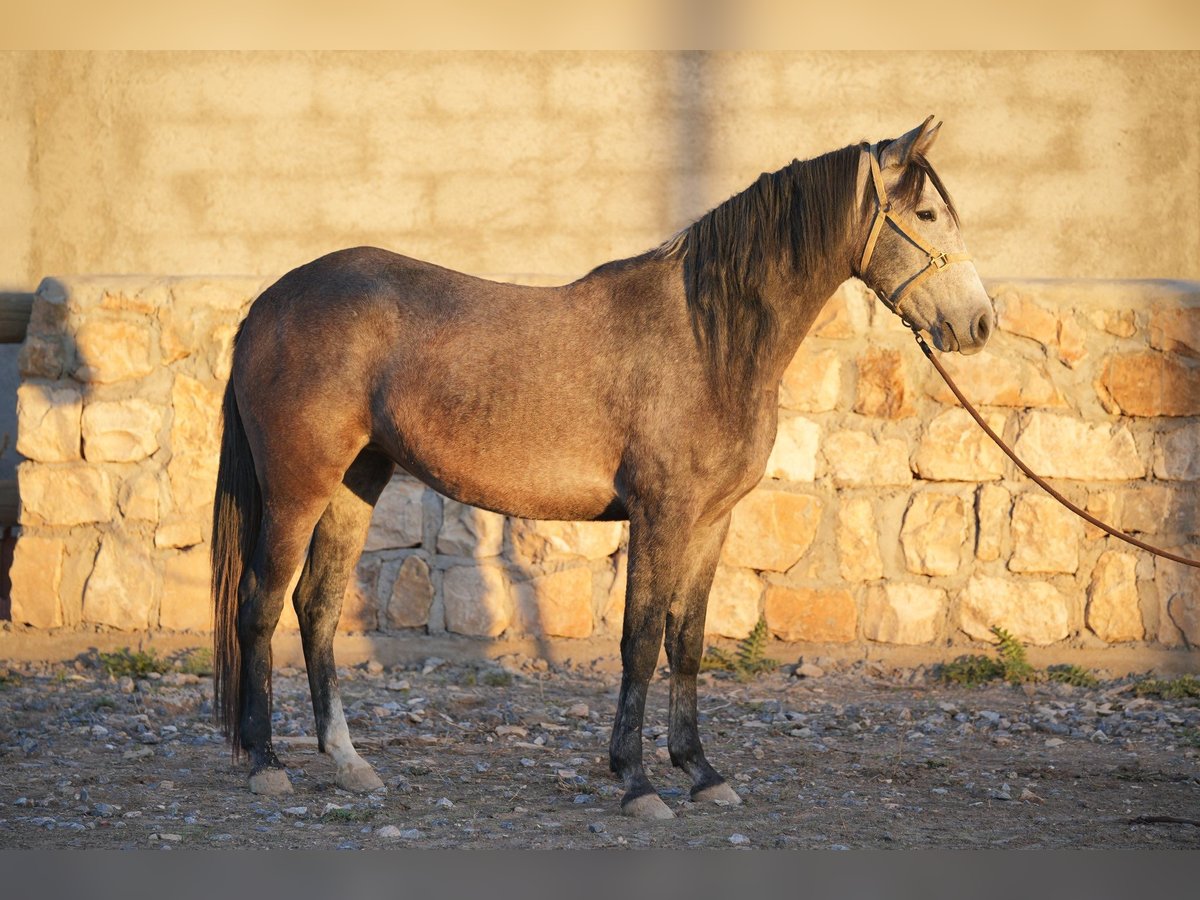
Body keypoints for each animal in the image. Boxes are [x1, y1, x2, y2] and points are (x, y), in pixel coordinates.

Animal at [211, 116, 993, 819]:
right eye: (927, 214)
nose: (980, 324)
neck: (707, 337)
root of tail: (267, 305)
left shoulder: (711, 522)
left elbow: (687, 642)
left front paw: (702, 772)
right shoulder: (661, 515)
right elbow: (640, 642)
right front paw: (638, 783)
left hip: (355, 482)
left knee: (316, 606)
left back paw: (349, 763)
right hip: (297, 488)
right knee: (259, 604)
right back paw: (266, 766)